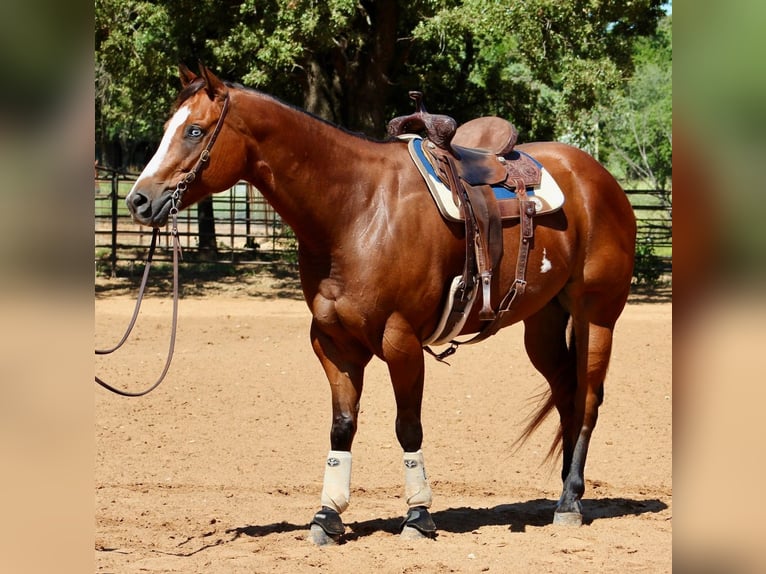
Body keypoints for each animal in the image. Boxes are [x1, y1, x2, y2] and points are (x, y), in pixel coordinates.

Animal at [125, 65, 636, 544]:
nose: (139, 201)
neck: (357, 209)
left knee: (588, 399)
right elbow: (342, 426)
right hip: (544, 323)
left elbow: (408, 426)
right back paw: (566, 492)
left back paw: (569, 502)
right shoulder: (333, 342)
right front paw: (328, 516)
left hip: (596, 316)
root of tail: (600, 179)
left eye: (195, 130)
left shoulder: (401, 340)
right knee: (567, 395)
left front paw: (418, 515)